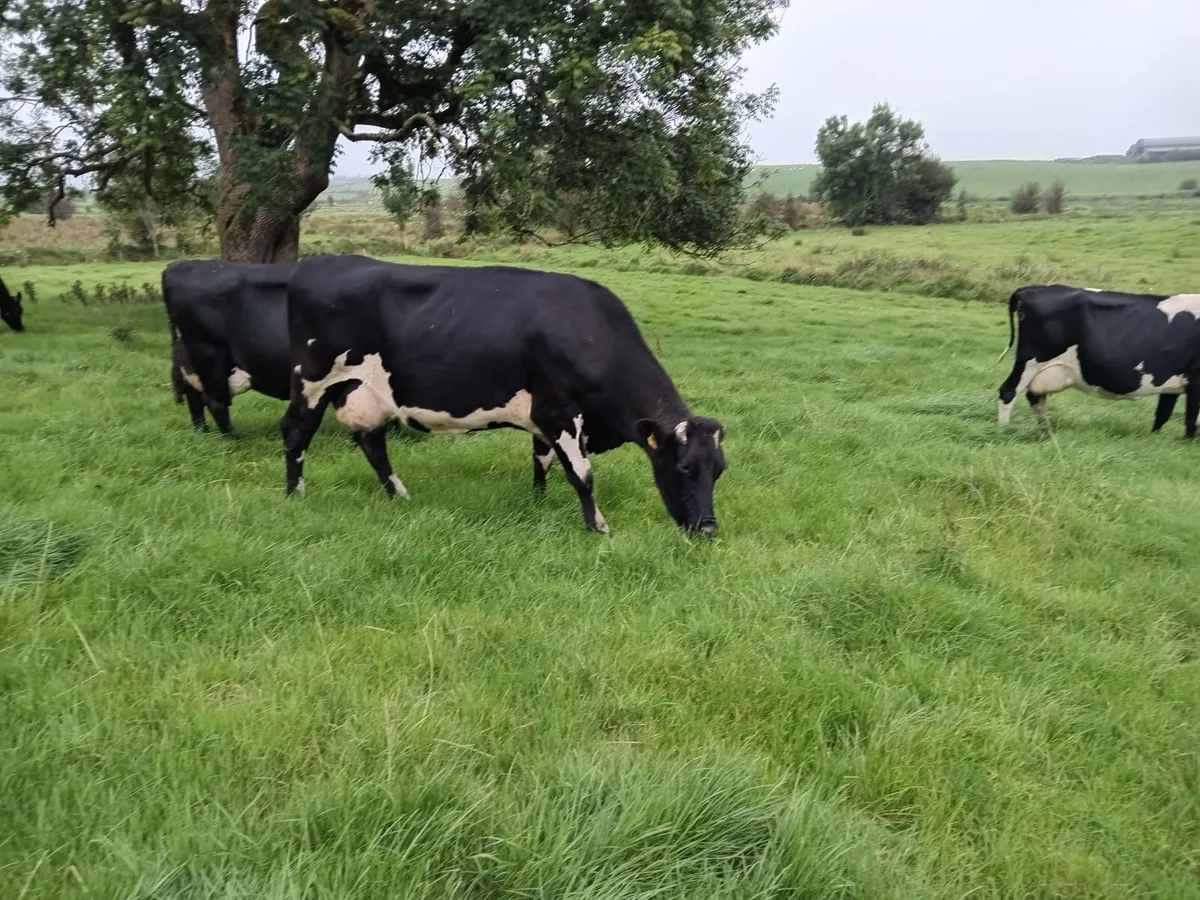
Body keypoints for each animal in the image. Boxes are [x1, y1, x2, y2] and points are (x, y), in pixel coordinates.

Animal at [162, 259, 294, 436]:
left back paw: (203, 431)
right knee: (214, 401)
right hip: (209, 355)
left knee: (195, 397)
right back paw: (234, 437)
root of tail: (177, 266)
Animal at [279, 255, 727, 535]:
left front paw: (538, 505)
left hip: (365, 392)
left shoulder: (542, 417)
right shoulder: (560, 413)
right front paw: (597, 526)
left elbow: (542, 462)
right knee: (296, 431)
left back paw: (399, 495)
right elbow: (581, 474)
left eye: (719, 470)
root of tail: (317, 263)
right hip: (313, 381)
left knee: (372, 442)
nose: (708, 529)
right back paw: (294, 494)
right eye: (684, 468)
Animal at [997, 284, 1200, 436]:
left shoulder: (1173, 383)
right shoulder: (1195, 380)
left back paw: (1047, 433)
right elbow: (1191, 419)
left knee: (1035, 397)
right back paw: (1004, 431)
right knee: (1008, 392)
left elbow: (1162, 415)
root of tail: (1033, 288)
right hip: (1030, 361)